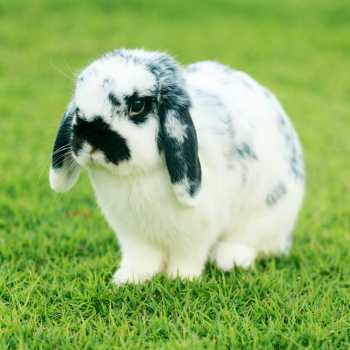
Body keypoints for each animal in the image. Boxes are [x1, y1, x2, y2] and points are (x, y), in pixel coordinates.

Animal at [48, 48, 304, 284]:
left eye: (137, 106)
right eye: (78, 106)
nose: (89, 139)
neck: (135, 177)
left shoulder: (195, 232)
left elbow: (188, 257)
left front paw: (180, 279)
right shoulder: (133, 234)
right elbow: (142, 259)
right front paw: (128, 279)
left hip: (264, 217)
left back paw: (229, 260)